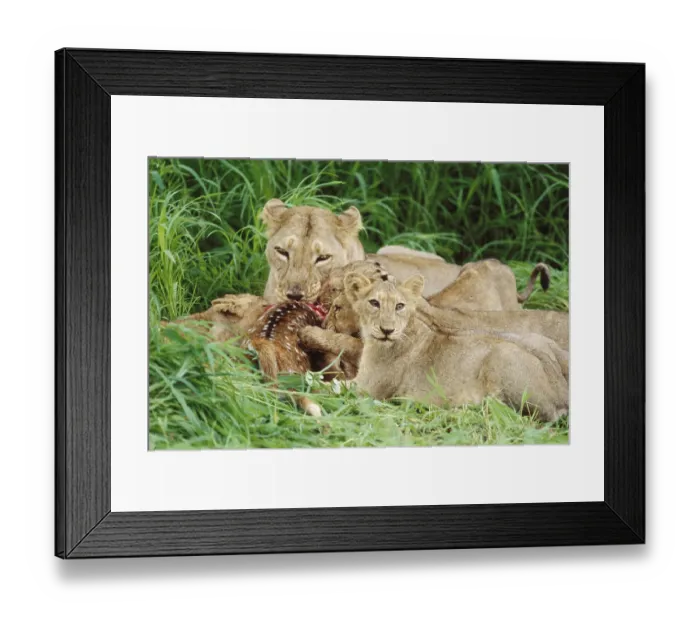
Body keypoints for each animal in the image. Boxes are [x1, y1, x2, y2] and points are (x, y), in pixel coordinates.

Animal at [342, 273, 569, 422]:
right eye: (374, 303)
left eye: (400, 306)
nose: (387, 330)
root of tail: (562, 387)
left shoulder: (367, 388)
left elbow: (335, 386)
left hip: (503, 356)